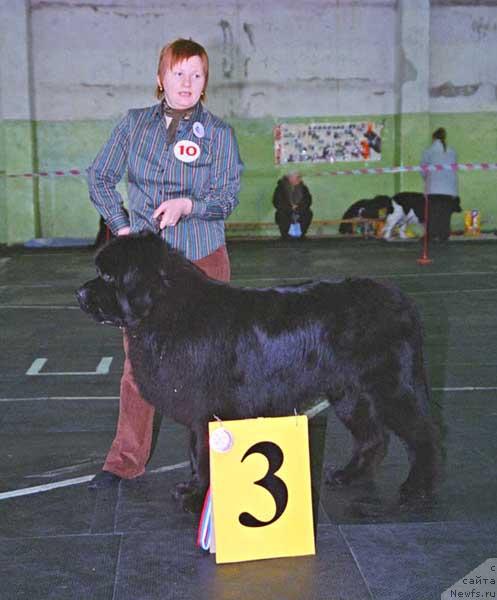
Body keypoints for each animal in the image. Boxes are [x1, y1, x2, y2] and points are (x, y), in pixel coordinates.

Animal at [76, 233, 438, 510]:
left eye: (107, 277)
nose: (79, 294)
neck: (165, 308)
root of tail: (402, 301)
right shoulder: (196, 406)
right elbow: (194, 452)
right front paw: (192, 488)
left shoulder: (208, 407)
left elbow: (203, 453)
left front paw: (197, 496)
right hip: (349, 393)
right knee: (371, 437)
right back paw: (347, 476)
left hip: (392, 387)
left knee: (423, 433)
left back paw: (417, 488)